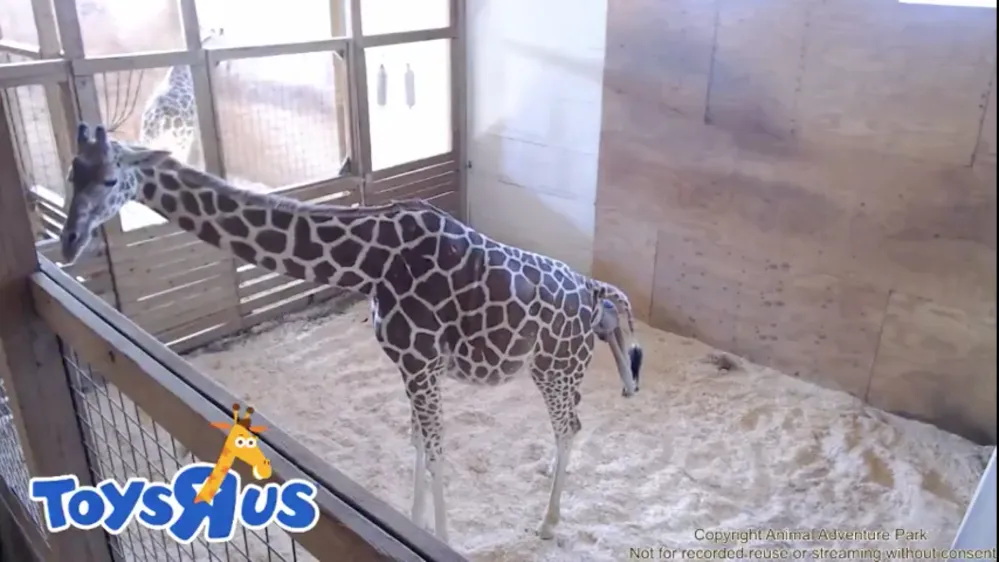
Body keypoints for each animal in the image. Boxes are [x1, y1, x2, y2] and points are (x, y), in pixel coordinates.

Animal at [60, 122, 644, 542]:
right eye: (70, 173)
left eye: (109, 180)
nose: (68, 242)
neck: (371, 261)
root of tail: (595, 292)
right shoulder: (410, 364)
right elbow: (416, 442)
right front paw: (414, 523)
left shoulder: (421, 360)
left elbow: (435, 450)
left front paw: (441, 538)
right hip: (559, 369)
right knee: (571, 426)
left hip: (554, 366)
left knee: (569, 427)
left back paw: (548, 523)